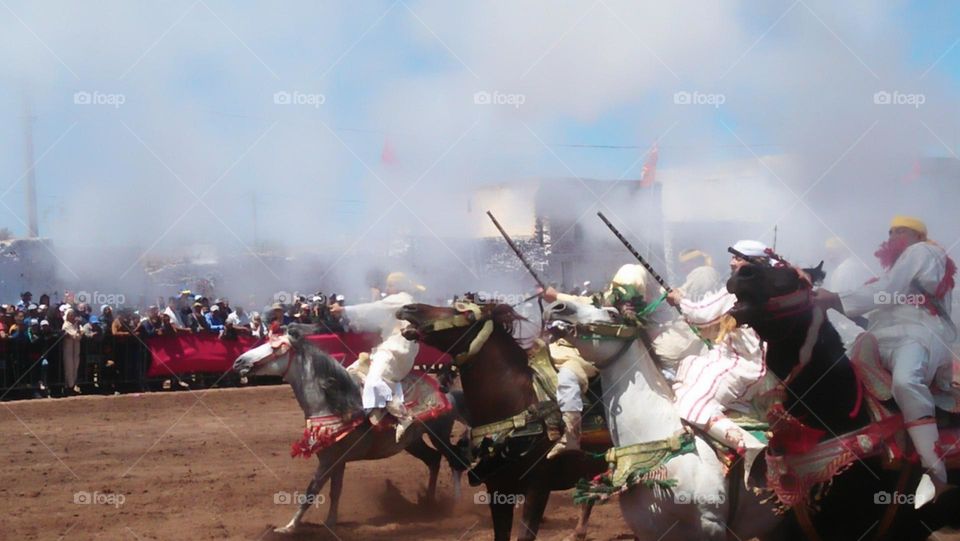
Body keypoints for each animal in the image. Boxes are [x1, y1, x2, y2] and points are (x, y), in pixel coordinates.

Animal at [229, 322, 462, 532]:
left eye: (275, 347)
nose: (238, 361)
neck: (333, 402)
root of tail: (444, 390)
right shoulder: (337, 460)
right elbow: (335, 491)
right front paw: (330, 522)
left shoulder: (328, 459)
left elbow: (311, 492)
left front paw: (289, 527)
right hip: (412, 442)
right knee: (433, 460)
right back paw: (429, 503)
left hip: (439, 435)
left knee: (454, 460)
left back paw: (453, 503)